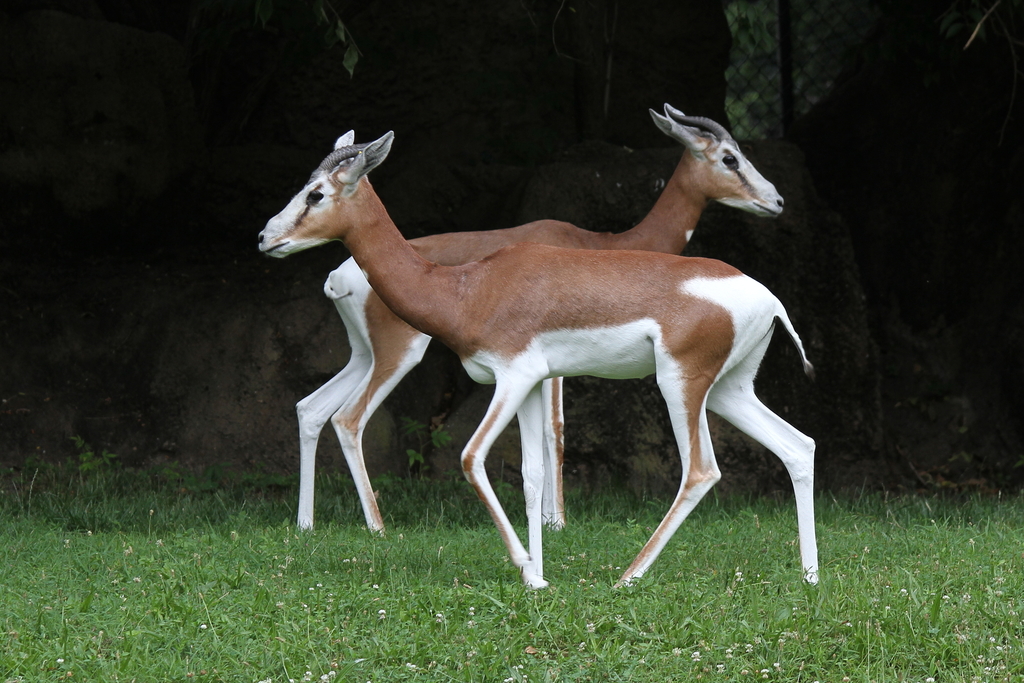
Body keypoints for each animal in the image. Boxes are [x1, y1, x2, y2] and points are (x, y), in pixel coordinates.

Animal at [258, 130, 819, 589]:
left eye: (316, 193)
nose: (265, 237)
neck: (466, 288)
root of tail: (768, 297)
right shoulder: (530, 384)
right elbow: (529, 472)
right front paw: (538, 572)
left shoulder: (515, 376)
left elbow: (473, 458)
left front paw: (528, 568)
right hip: (728, 391)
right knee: (798, 445)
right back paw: (810, 578)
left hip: (680, 383)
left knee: (701, 471)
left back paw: (628, 577)